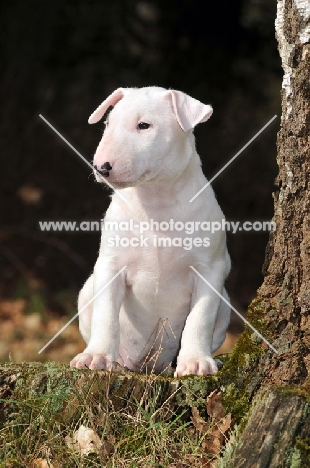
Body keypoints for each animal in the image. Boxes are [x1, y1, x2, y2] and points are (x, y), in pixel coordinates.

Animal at [70, 87, 230, 376]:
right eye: (108, 124)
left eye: (144, 125)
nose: (101, 167)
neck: (155, 204)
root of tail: (146, 367)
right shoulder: (111, 265)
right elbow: (106, 315)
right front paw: (96, 357)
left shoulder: (210, 269)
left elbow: (200, 318)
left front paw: (195, 362)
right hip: (87, 290)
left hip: (225, 302)